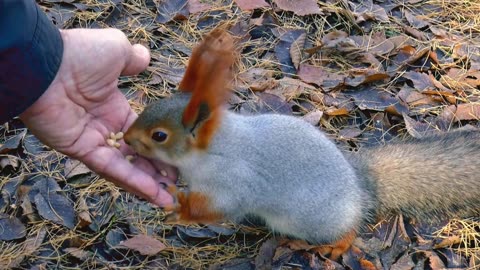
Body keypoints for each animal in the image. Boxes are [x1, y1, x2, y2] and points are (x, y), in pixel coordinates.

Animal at [123, 28, 480, 260]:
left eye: (159, 135)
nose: (125, 139)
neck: (214, 149)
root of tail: (361, 187)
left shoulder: (235, 181)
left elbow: (221, 207)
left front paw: (180, 208)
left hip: (315, 220)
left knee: (348, 230)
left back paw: (334, 245)